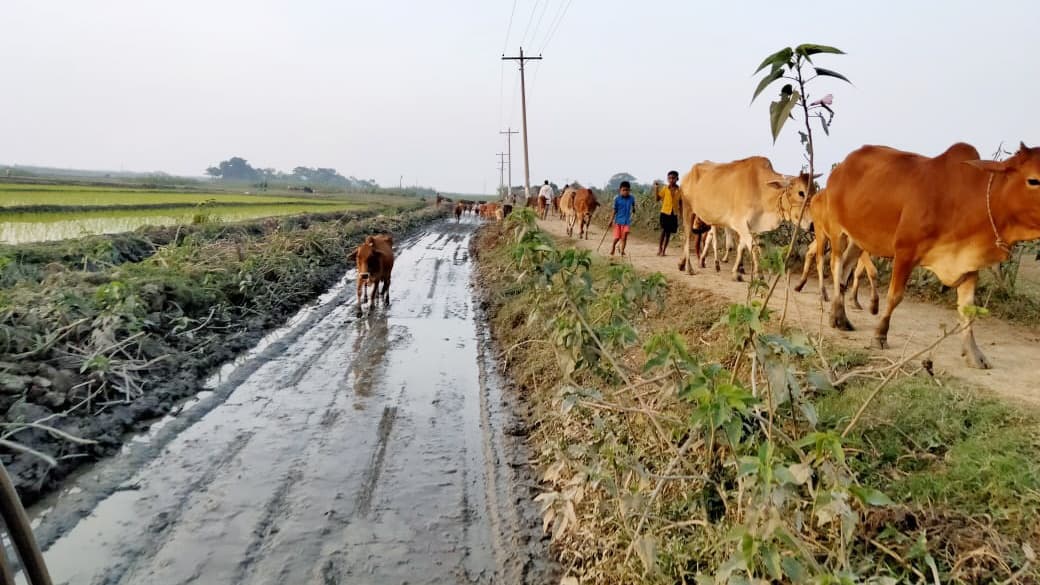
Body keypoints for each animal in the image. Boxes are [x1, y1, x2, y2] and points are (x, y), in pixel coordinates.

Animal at [678, 157, 815, 281]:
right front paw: (759, 275)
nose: (813, 225)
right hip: (687, 208)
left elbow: (742, 247)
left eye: (814, 191)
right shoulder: (741, 224)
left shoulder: (752, 227)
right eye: (801, 193)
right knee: (687, 236)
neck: (761, 190)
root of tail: (688, 174)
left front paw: (736, 272)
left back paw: (682, 264)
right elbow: (752, 248)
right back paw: (689, 267)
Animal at [823, 141, 1040, 366]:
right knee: (836, 267)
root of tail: (841, 167)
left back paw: (839, 317)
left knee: (845, 269)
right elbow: (894, 297)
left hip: (858, 239)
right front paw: (880, 336)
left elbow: (967, 309)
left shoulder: (968, 263)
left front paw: (974, 354)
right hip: (837, 230)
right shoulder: (905, 252)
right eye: (1033, 180)